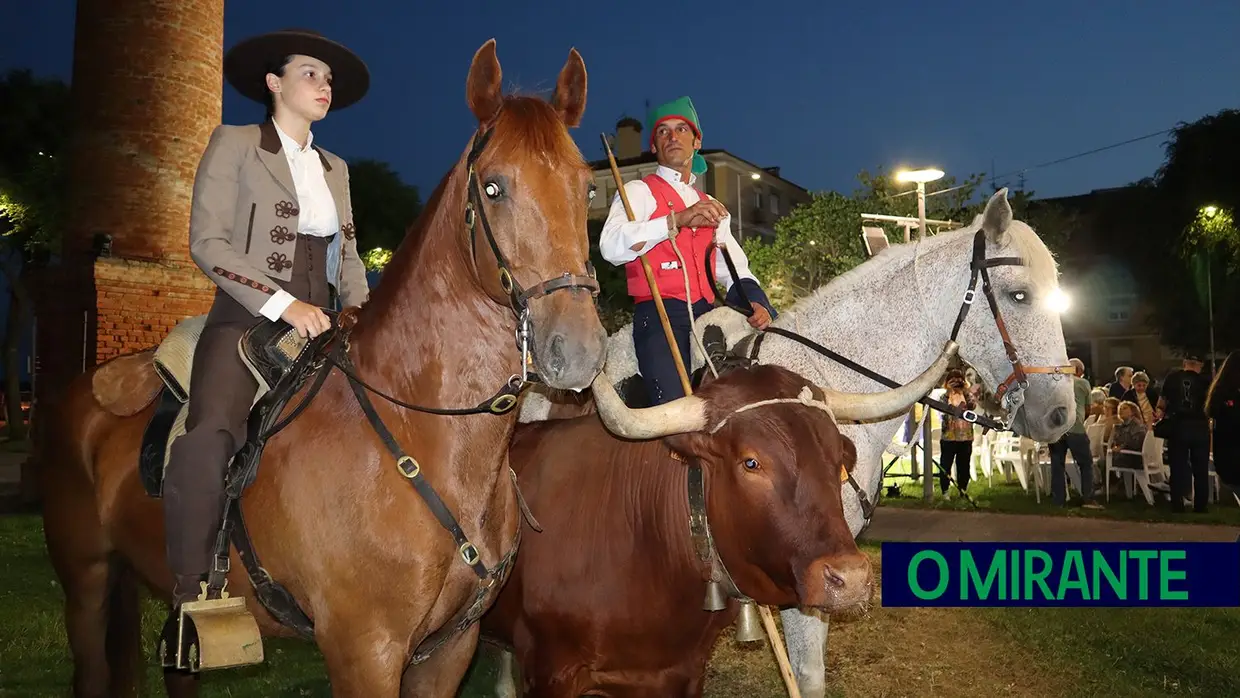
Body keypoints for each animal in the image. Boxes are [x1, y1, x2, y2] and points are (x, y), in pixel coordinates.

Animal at [33, 39, 605, 698]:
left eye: (586, 188)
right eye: (492, 188)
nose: (579, 349)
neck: (422, 430)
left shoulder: (448, 652)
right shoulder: (364, 652)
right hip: (87, 583)